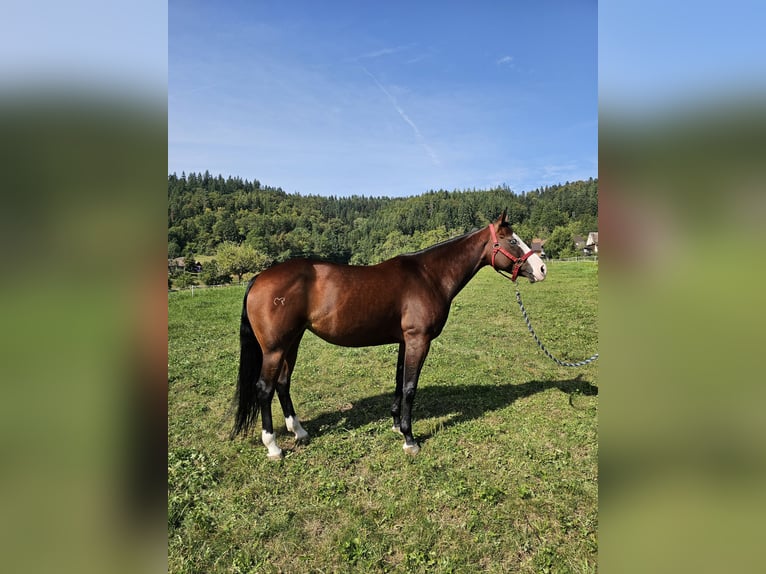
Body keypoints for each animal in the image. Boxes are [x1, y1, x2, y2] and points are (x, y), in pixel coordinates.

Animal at [231, 209, 548, 462]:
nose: (542, 269)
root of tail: (259, 278)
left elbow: (398, 383)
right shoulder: (418, 340)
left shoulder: (404, 341)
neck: (429, 276)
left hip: (292, 342)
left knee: (283, 384)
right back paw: (273, 446)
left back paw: (299, 431)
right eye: (512, 241)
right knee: (264, 388)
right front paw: (410, 439)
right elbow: (409, 387)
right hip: (274, 348)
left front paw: (396, 425)